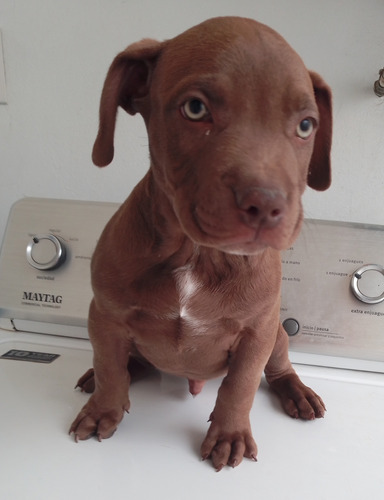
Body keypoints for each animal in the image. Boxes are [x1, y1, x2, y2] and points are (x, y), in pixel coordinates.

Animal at [70, 14, 332, 468]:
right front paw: (103, 409)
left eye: (305, 126)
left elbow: (240, 385)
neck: (198, 254)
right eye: (195, 109)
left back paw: (297, 392)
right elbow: (109, 366)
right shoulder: (104, 315)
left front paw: (229, 434)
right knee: (123, 363)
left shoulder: (257, 332)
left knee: (277, 369)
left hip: (278, 335)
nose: (266, 204)